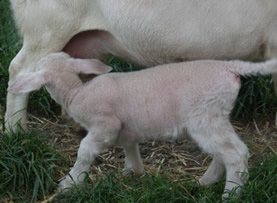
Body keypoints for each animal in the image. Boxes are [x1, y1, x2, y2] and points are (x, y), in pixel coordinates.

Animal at [7, 52, 276, 198]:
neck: (76, 92)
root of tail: (229, 67)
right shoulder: (127, 127)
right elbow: (130, 146)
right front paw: (133, 170)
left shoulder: (106, 124)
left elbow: (84, 151)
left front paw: (69, 183)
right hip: (215, 116)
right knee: (224, 152)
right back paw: (205, 182)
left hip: (206, 116)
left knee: (236, 154)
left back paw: (230, 194)